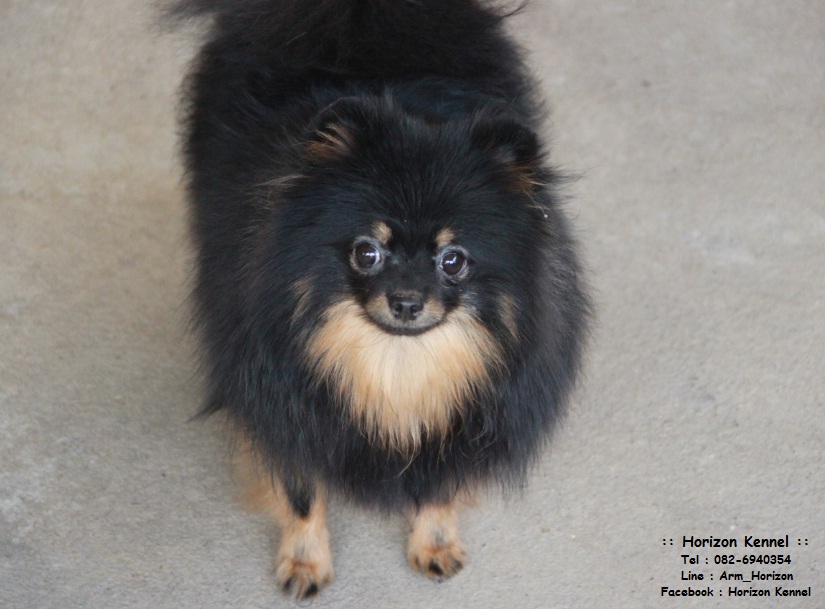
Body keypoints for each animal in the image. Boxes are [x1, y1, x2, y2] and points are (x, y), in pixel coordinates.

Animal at [172, 0, 590, 598]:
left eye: (453, 260)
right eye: (367, 252)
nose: (407, 302)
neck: (396, 366)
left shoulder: (465, 420)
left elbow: (439, 484)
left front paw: (434, 544)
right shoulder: (284, 403)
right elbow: (302, 491)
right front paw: (305, 562)